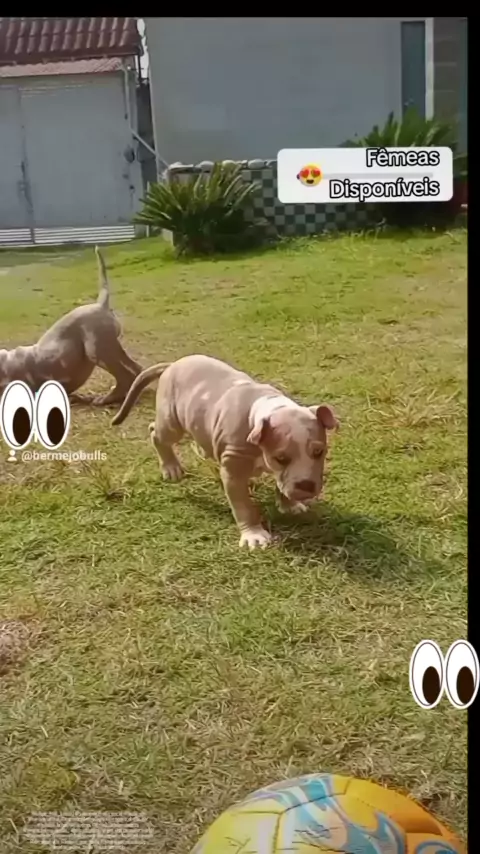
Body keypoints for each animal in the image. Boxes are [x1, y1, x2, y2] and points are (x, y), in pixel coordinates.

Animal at [0, 247, 142, 405]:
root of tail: (100, 305)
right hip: (111, 347)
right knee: (136, 369)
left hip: (96, 350)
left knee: (124, 376)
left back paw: (106, 399)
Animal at [112, 354, 338, 549]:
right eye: (281, 458)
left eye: (319, 452)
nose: (306, 485)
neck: (263, 414)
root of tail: (173, 364)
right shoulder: (234, 472)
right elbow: (244, 507)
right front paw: (254, 535)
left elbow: (281, 483)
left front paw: (290, 505)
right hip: (171, 421)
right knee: (156, 433)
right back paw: (171, 468)